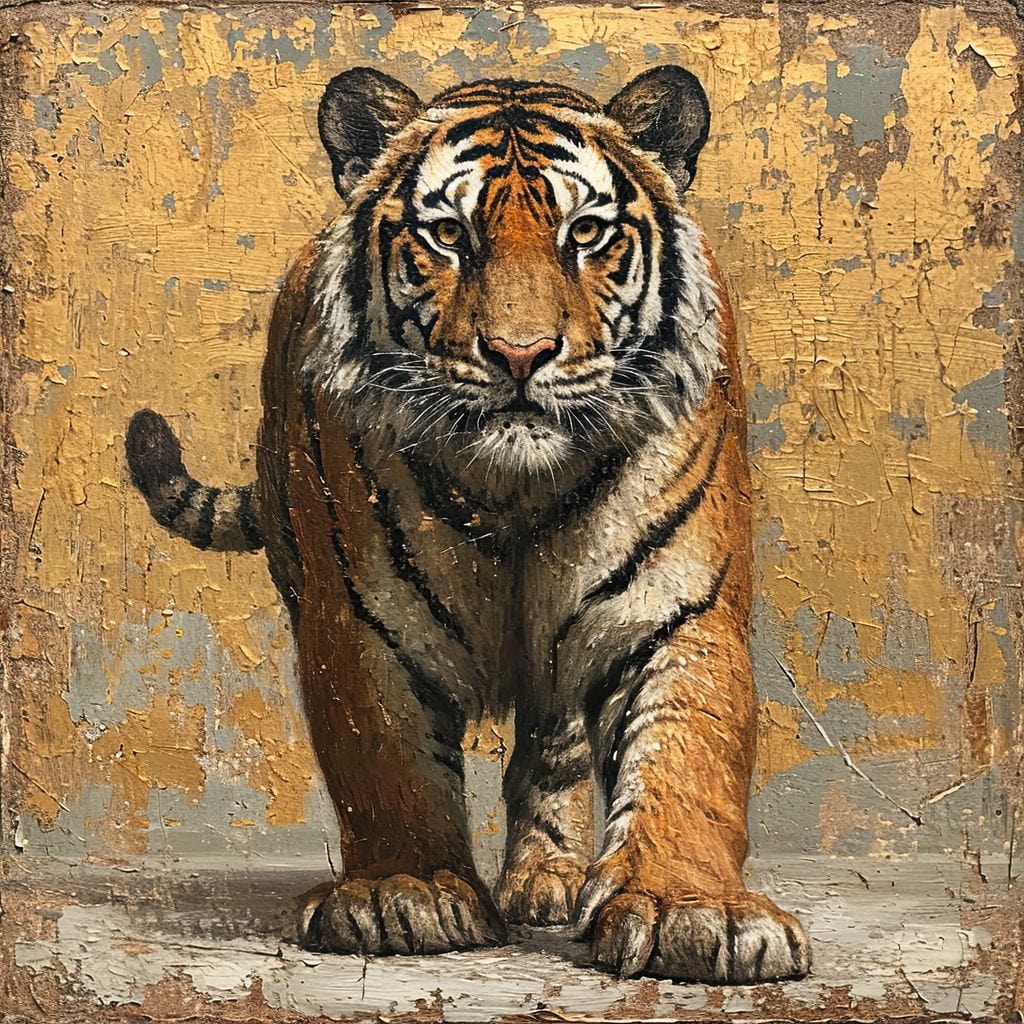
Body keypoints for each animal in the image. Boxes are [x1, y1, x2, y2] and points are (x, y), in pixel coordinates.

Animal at [125, 65, 812, 983]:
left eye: (586, 232)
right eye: (449, 235)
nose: (520, 354)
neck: (516, 488)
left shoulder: (678, 609)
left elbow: (688, 758)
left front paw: (691, 909)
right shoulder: (364, 624)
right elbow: (387, 765)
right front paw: (403, 893)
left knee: (554, 740)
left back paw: (550, 877)